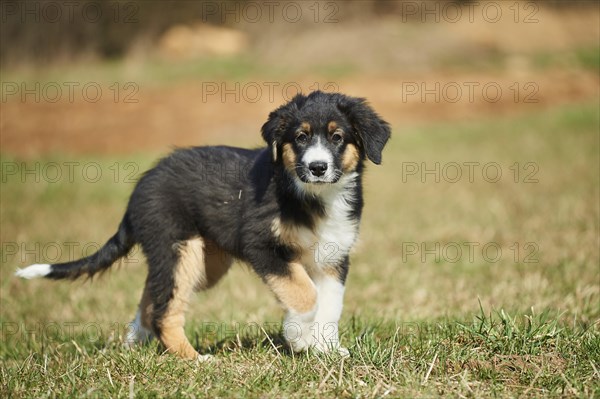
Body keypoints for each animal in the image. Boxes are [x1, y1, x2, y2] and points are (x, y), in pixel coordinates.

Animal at [15, 91, 390, 362]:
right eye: (300, 137)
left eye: (337, 137)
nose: (317, 167)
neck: (314, 196)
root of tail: (141, 186)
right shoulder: (261, 245)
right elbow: (304, 293)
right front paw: (298, 339)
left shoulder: (334, 256)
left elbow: (330, 306)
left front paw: (327, 350)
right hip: (180, 247)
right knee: (165, 311)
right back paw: (193, 359)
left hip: (203, 263)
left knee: (153, 297)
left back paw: (133, 344)